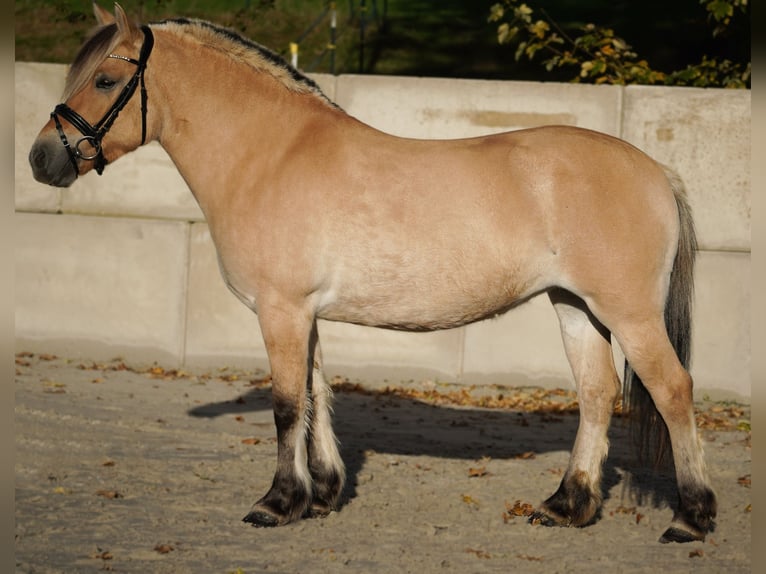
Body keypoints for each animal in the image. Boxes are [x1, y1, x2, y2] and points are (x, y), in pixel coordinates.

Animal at [27, 3, 716, 544]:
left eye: (106, 78)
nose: (40, 159)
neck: (269, 154)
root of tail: (657, 171)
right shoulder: (303, 313)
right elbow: (316, 394)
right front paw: (324, 493)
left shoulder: (281, 309)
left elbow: (286, 405)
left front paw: (277, 503)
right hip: (574, 305)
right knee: (597, 394)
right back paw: (567, 505)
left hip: (628, 312)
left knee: (672, 390)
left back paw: (690, 517)